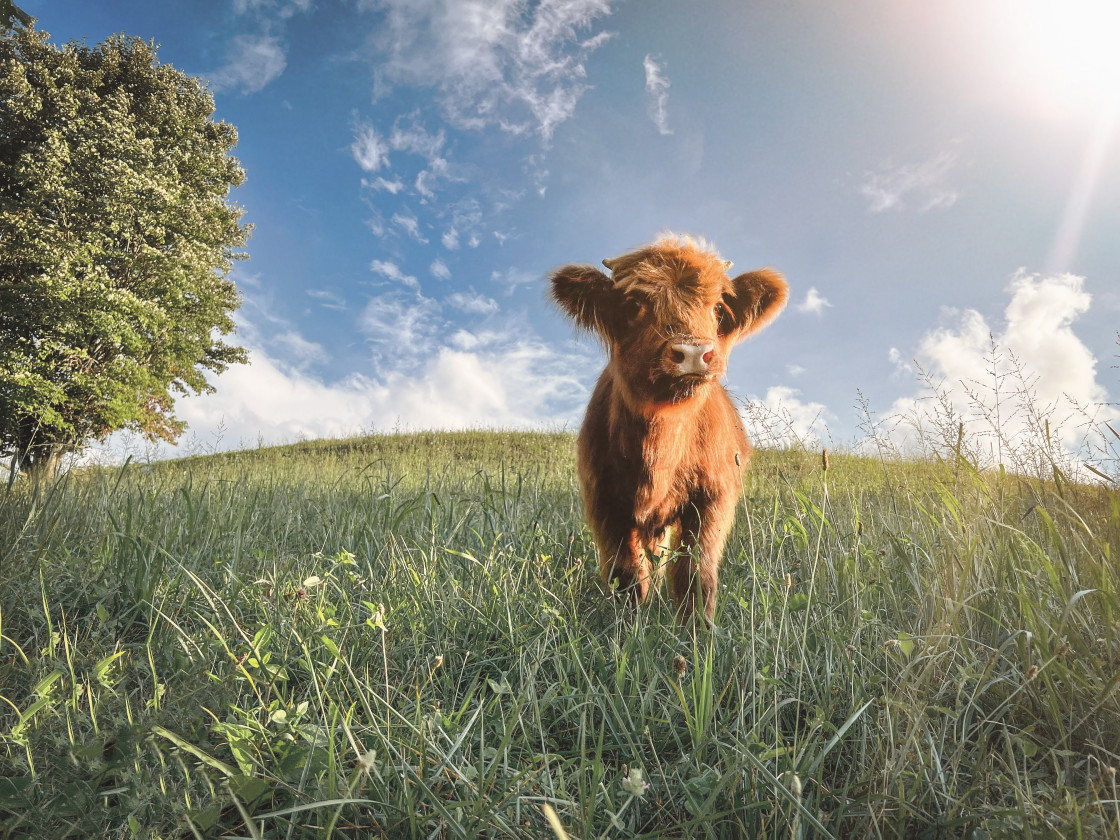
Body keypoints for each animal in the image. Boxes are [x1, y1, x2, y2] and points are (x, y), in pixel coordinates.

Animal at [551, 237, 788, 627]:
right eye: (634, 305)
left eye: (718, 308)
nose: (693, 352)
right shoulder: (604, 501)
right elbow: (627, 572)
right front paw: (627, 626)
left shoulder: (713, 497)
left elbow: (695, 571)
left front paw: (696, 629)